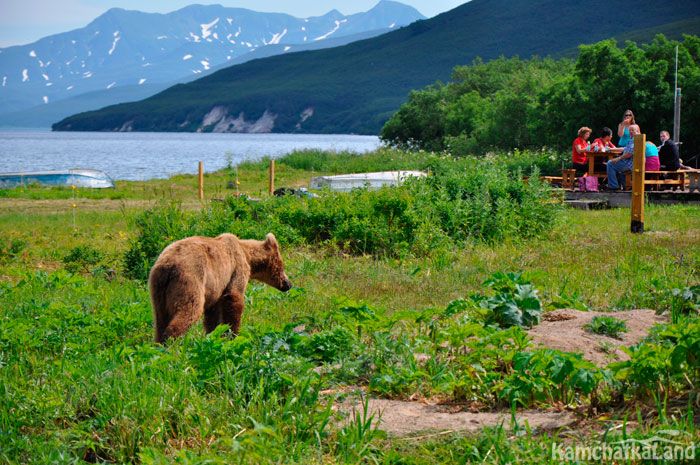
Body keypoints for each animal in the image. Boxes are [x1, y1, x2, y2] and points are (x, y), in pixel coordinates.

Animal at [149, 231, 292, 340]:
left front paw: (214, 334)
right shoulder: (236, 268)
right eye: (282, 266)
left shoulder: (215, 289)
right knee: (190, 308)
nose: (288, 284)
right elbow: (234, 298)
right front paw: (233, 334)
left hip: (158, 289)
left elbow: (213, 314)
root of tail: (168, 265)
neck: (247, 255)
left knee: (160, 320)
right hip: (190, 278)